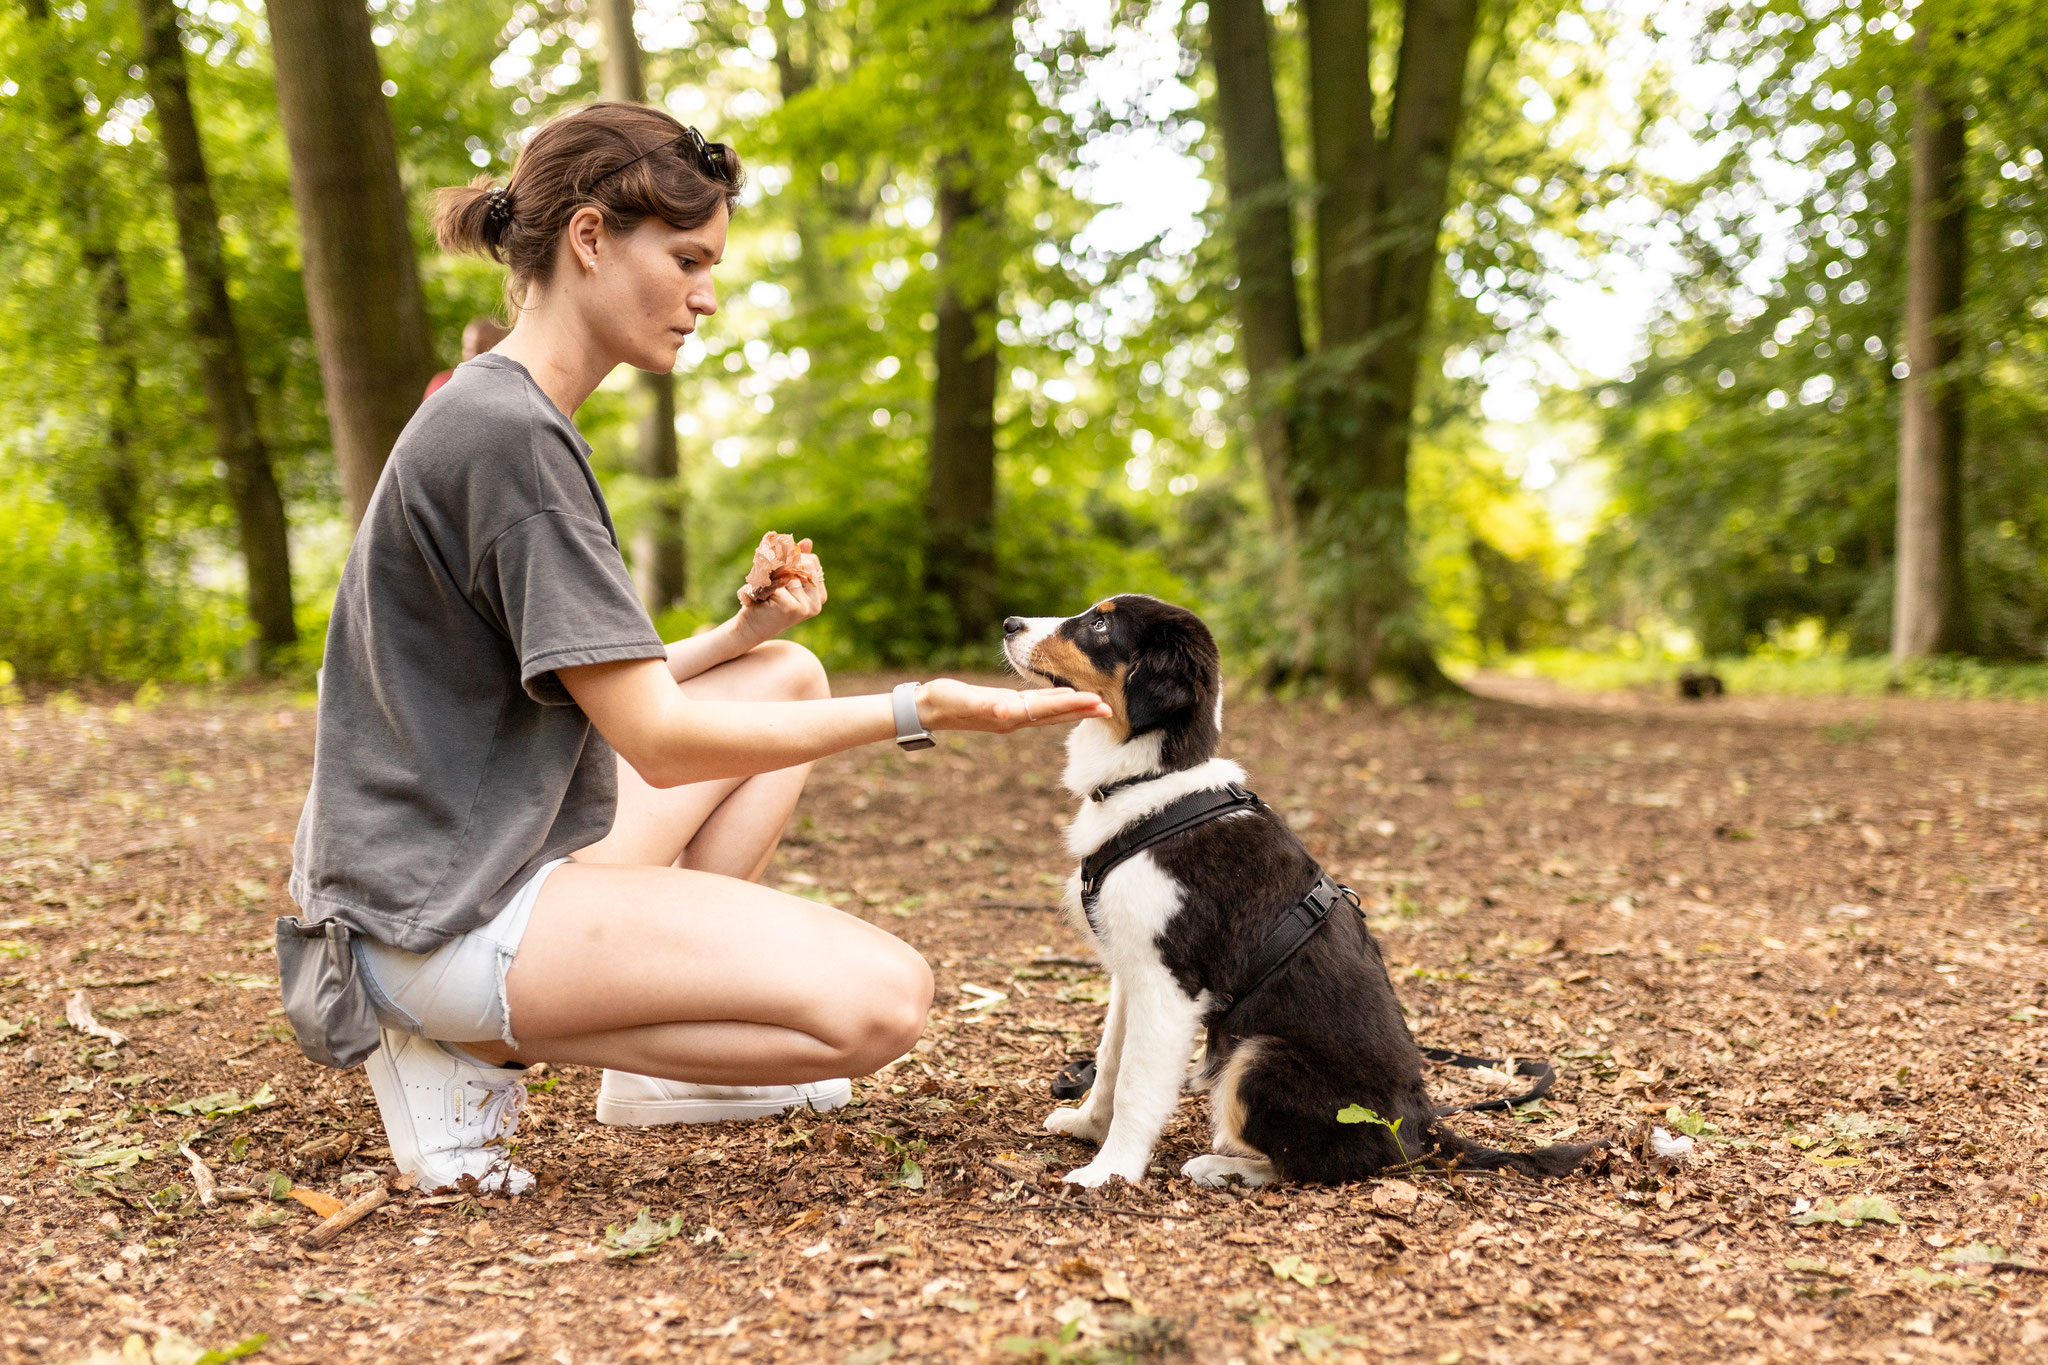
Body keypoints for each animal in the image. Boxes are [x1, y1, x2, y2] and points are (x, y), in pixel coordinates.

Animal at [999, 593, 1605, 1186]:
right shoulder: (1131, 970)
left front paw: (1110, 1171)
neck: (1151, 783)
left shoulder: (1169, 982)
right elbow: (1109, 1062)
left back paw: (1223, 1166)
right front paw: (1087, 1126)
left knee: (1325, 1163)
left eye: (1100, 625)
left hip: (1258, 1055)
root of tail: (1423, 1126)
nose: (1008, 622)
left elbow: (1135, 1085)